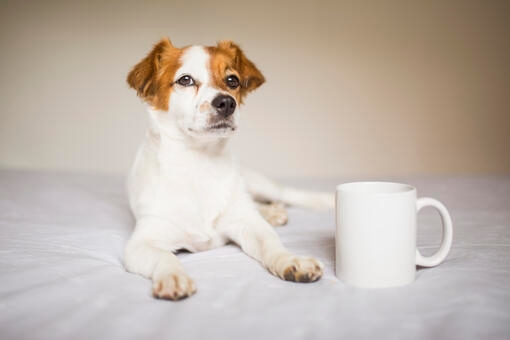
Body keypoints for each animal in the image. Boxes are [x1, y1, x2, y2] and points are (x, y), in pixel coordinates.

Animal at [123, 37, 334, 300]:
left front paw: (291, 261)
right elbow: (162, 256)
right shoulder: (142, 242)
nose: (226, 103)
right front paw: (173, 276)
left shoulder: (249, 225)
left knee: (287, 195)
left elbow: (272, 243)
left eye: (232, 80)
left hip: (258, 184)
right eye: (185, 79)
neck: (200, 162)